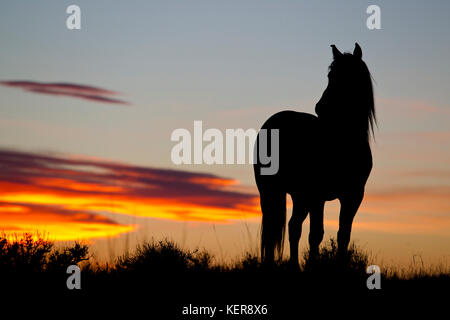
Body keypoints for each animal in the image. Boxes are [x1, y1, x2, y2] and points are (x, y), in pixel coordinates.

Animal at [253, 43, 376, 266]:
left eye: (349, 75)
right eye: (330, 75)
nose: (320, 108)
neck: (342, 139)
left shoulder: (353, 196)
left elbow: (343, 234)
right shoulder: (317, 195)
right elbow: (316, 234)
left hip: (299, 196)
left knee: (293, 227)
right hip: (271, 191)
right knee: (273, 229)